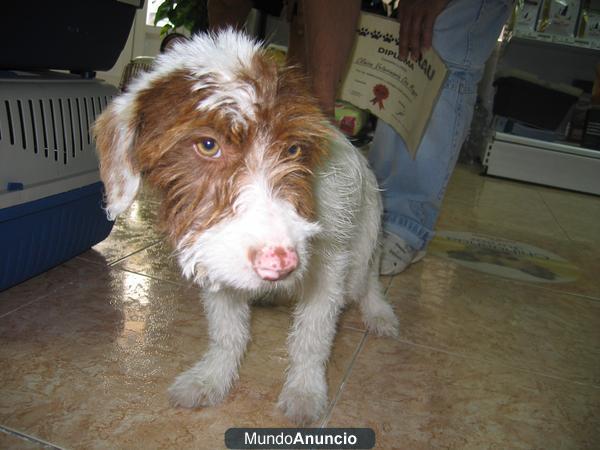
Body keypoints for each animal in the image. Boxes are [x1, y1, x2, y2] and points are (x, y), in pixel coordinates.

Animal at [94, 29, 398, 426]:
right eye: (208, 145)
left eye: (293, 150)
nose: (281, 263)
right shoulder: (214, 255)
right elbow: (227, 331)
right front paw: (212, 377)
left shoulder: (329, 268)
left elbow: (312, 335)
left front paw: (305, 390)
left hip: (362, 248)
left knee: (367, 281)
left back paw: (379, 313)